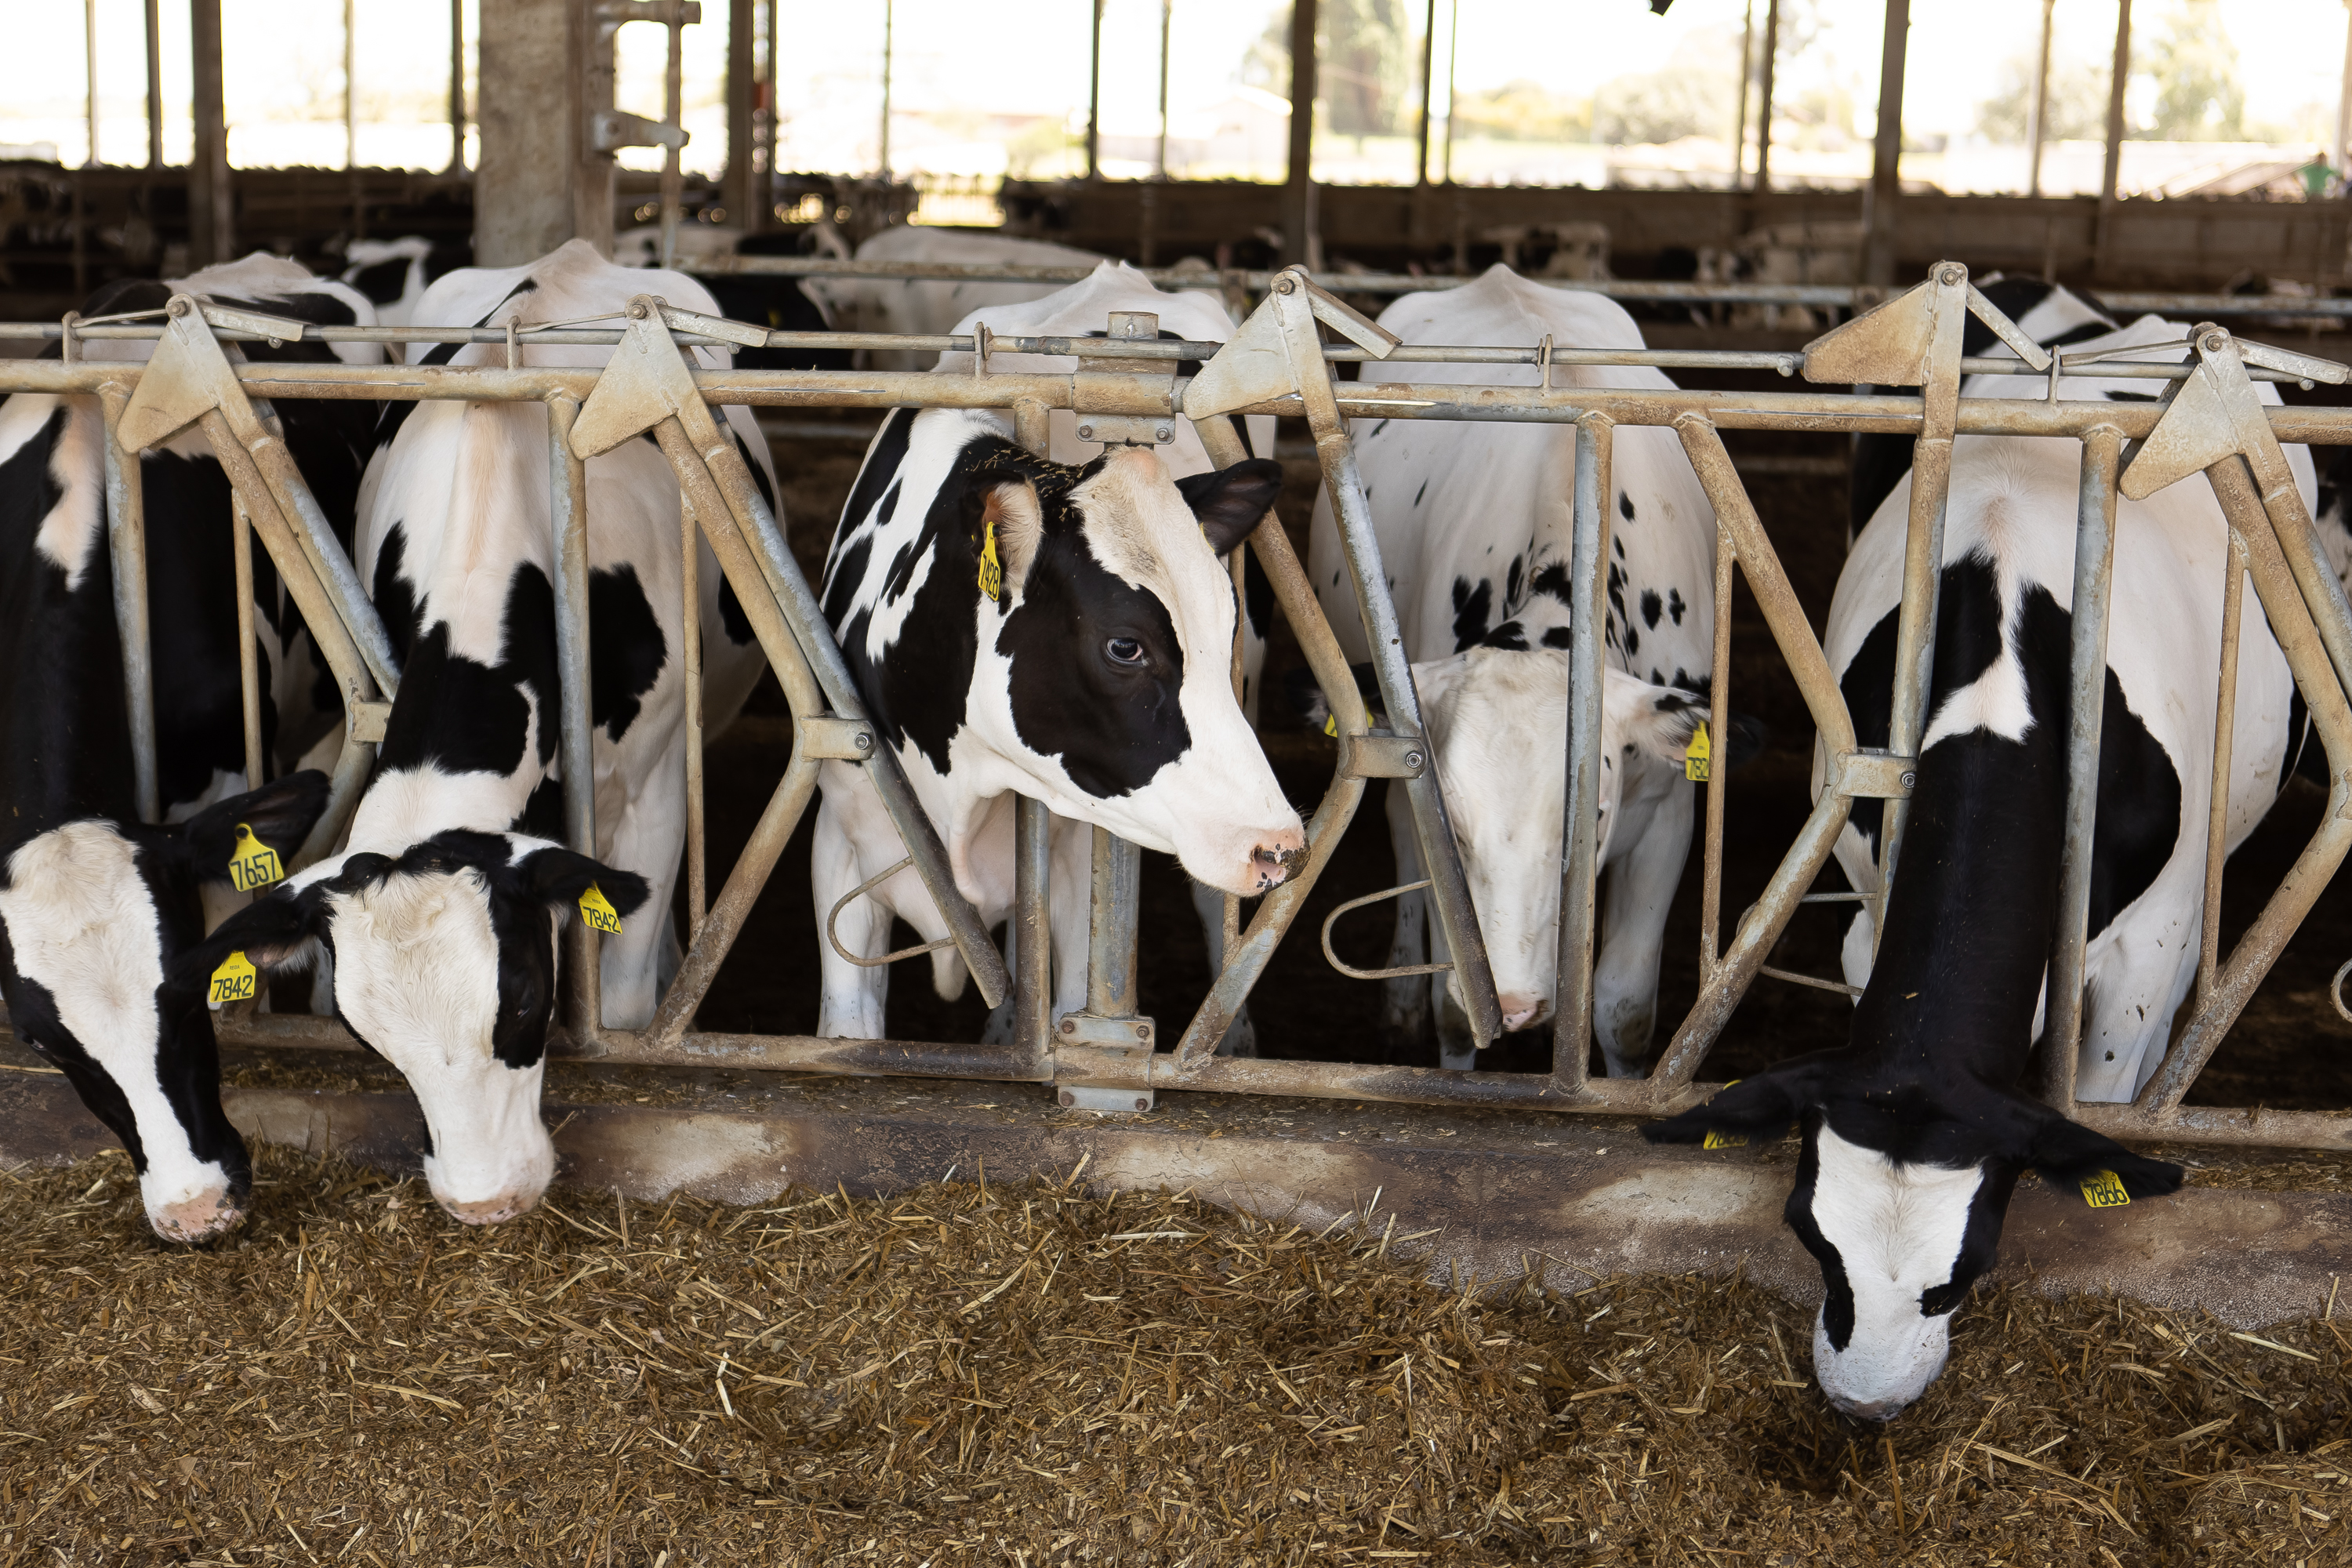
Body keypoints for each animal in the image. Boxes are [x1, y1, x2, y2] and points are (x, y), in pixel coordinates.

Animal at [1305, 264, 1731, 1076]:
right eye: (1459, 826)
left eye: (1588, 817)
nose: (1514, 1003)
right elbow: (1454, 1005)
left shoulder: (1668, 809)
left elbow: (1625, 1009)